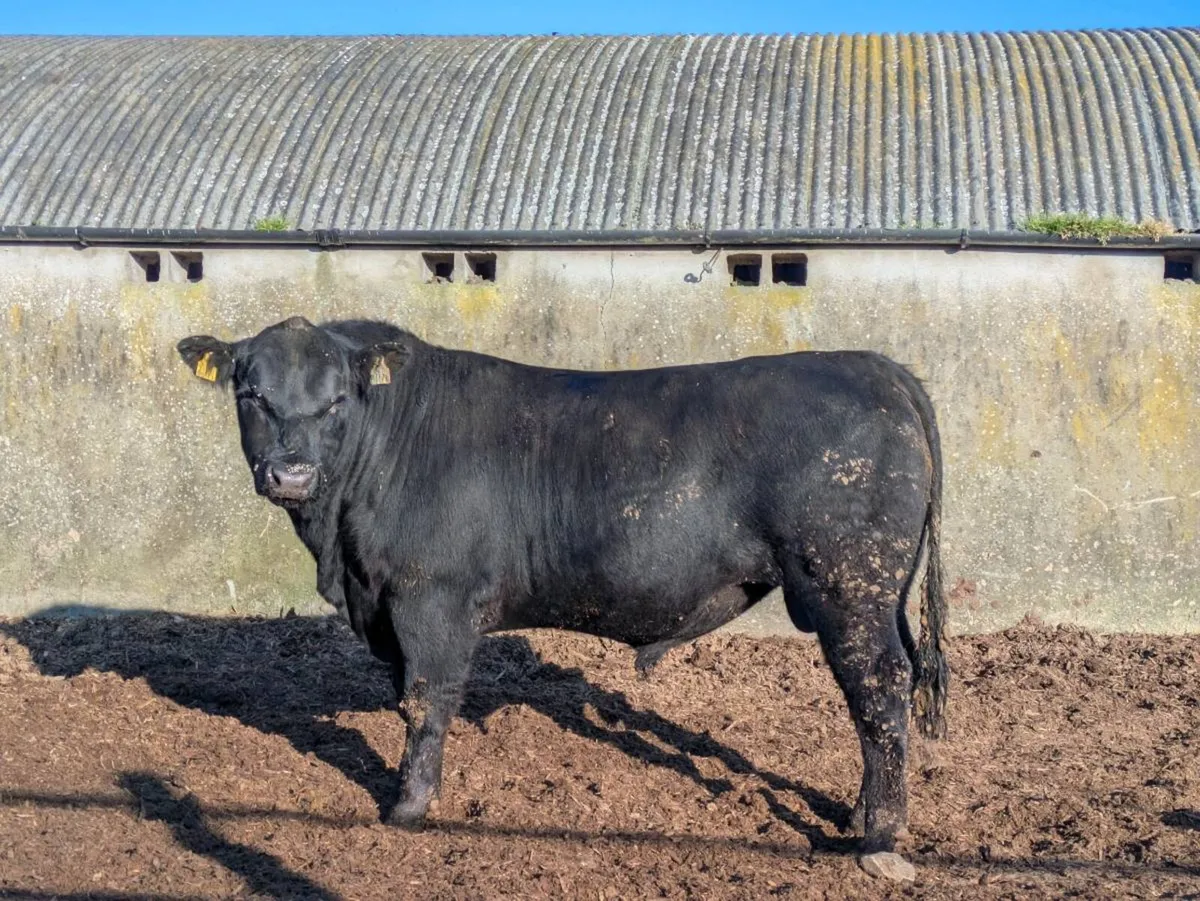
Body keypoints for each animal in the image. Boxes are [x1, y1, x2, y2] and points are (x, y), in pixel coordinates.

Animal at [178, 316, 948, 878]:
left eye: (336, 399)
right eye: (251, 395)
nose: (292, 473)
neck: (344, 558)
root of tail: (872, 365)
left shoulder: (431, 600)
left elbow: (424, 701)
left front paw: (407, 808)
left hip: (847, 584)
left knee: (878, 687)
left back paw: (877, 836)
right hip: (880, 591)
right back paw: (859, 814)